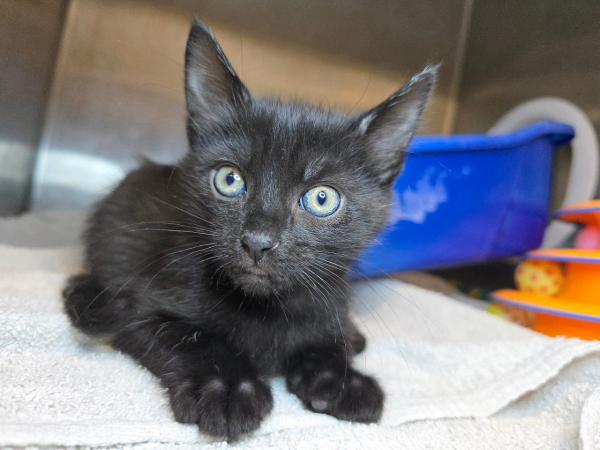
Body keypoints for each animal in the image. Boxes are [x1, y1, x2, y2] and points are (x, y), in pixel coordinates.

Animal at [62, 20, 436, 440]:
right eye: (229, 179)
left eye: (322, 199)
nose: (258, 242)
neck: (266, 309)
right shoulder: (143, 307)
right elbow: (195, 338)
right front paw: (227, 388)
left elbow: (324, 342)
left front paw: (342, 380)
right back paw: (84, 299)